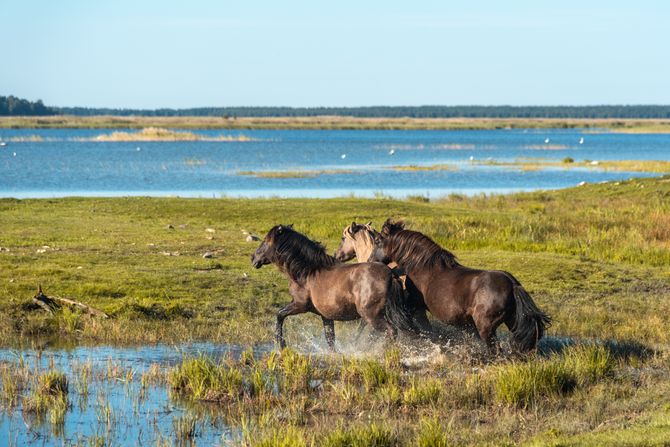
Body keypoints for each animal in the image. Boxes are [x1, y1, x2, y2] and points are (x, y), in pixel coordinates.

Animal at [252, 226, 420, 352]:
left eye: (265, 241)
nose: (253, 258)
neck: (308, 272)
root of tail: (391, 274)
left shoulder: (299, 305)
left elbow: (279, 315)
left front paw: (281, 345)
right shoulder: (325, 315)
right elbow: (330, 339)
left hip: (372, 316)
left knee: (391, 332)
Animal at [368, 220, 552, 354]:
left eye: (377, 241)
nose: (370, 261)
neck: (422, 267)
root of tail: (512, 284)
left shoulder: (416, 307)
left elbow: (424, 329)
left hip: (486, 327)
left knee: (496, 351)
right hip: (512, 320)